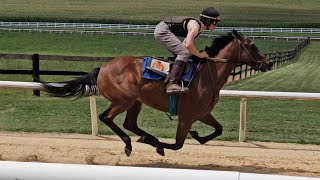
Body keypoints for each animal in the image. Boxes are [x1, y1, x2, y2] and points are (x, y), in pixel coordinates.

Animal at [40, 29, 272, 156]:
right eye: (251, 45)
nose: (268, 62)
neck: (210, 73)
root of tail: (102, 68)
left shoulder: (202, 113)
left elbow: (219, 129)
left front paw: (197, 136)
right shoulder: (187, 116)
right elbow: (178, 144)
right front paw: (163, 144)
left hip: (136, 101)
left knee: (129, 123)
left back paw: (145, 138)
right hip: (123, 100)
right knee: (106, 117)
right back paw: (131, 143)